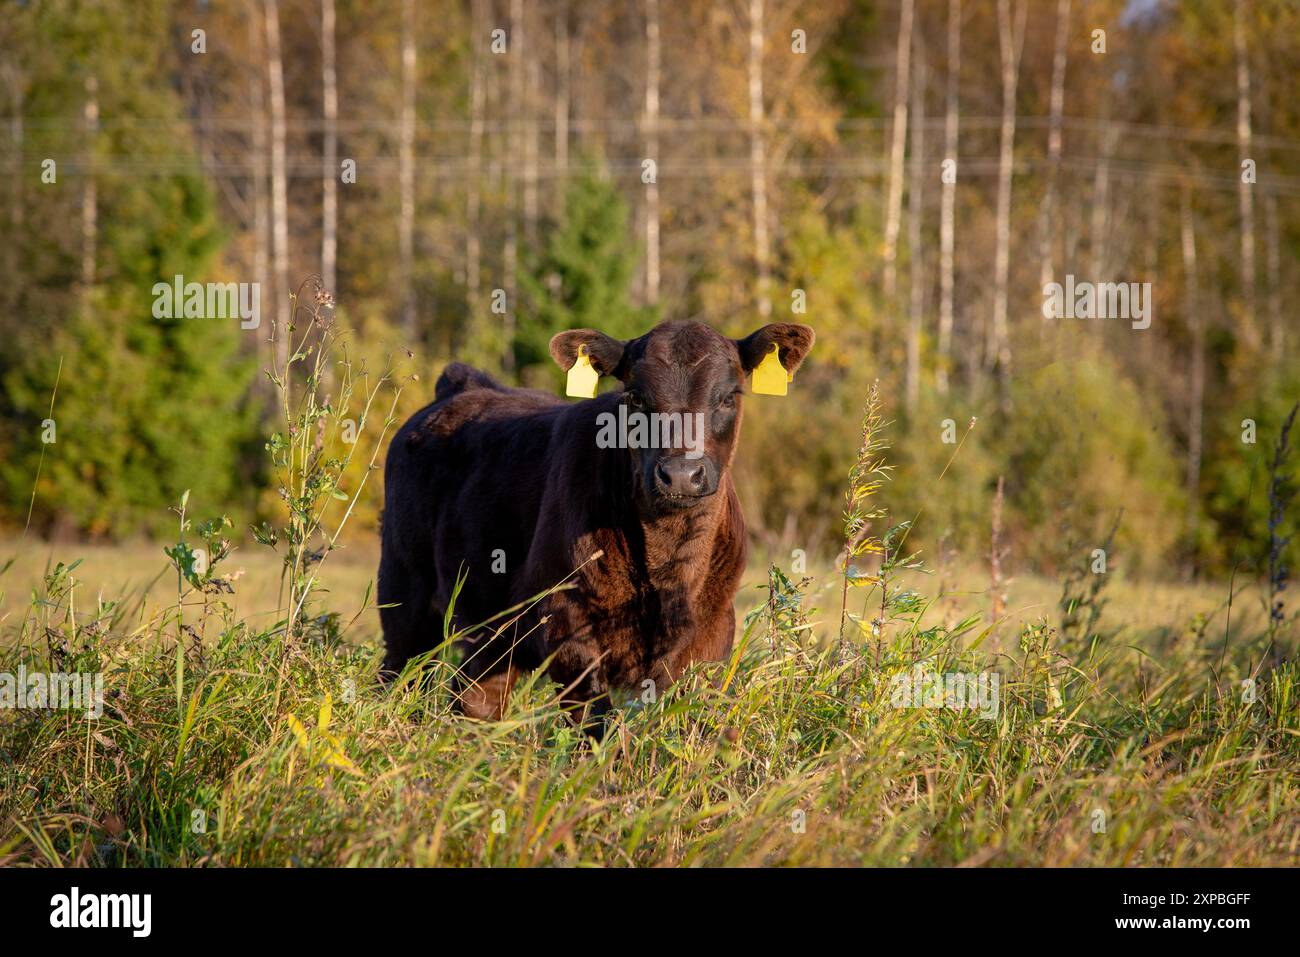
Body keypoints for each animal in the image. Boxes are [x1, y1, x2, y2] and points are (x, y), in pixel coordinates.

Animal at [377, 319, 815, 726]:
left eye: (728, 396)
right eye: (635, 396)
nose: (680, 474)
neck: (670, 566)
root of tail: (462, 386)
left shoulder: (714, 631)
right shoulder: (565, 623)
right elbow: (596, 722)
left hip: (491, 632)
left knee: (476, 698)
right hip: (404, 597)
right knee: (401, 677)